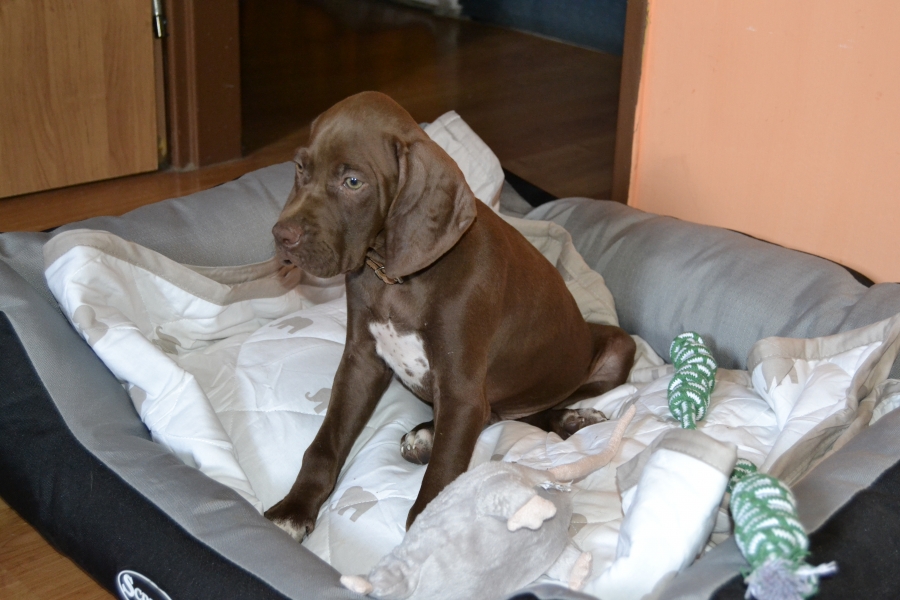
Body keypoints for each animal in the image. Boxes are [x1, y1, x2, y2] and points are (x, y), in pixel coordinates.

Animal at [266, 91, 635, 540]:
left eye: (353, 182)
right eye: (301, 168)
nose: (282, 236)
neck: (395, 276)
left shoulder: (461, 388)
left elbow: (443, 473)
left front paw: (424, 540)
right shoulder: (361, 362)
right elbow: (326, 441)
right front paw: (294, 508)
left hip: (616, 348)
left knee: (530, 407)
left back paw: (573, 417)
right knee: (502, 412)